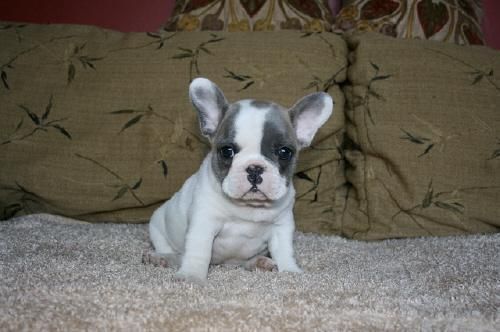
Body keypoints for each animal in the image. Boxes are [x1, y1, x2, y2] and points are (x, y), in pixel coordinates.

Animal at [147, 77, 332, 282]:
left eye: (285, 152)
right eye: (227, 151)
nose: (254, 168)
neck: (249, 206)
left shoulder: (281, 227)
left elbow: (284, 251)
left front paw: (290, 271)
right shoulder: (204, 222)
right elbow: (198, 251)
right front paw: (191, 275)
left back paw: (259, 262)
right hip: (157, 226)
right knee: (175, 252)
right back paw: (162, 258)